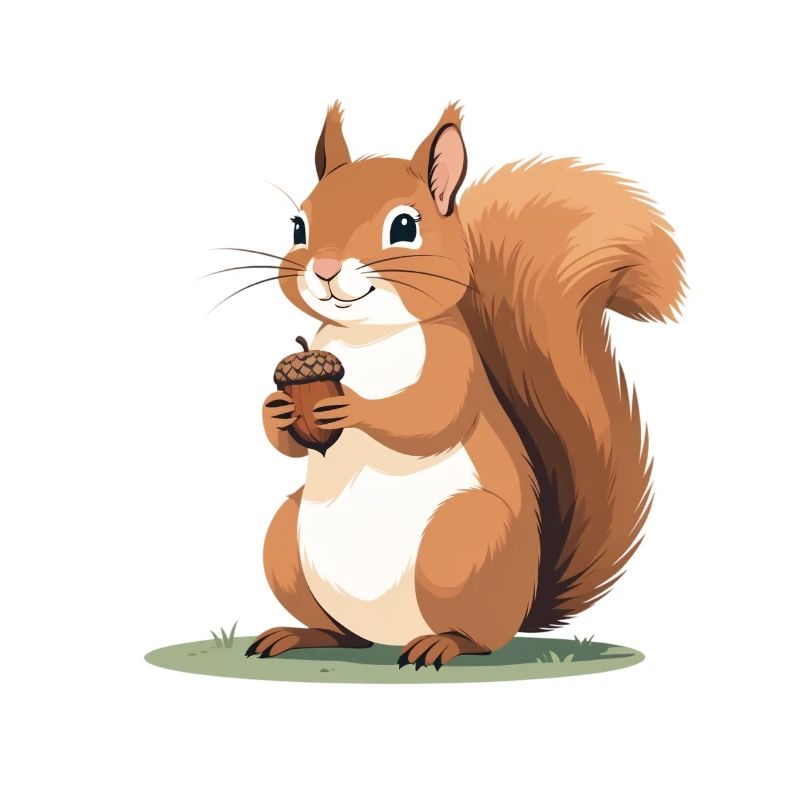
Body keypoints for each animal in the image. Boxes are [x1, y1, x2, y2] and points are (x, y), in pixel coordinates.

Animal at [247, 102, 684, 669]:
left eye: (404, 226)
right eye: (298, 225)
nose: (323, 268)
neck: (367, 334)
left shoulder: (455, 362)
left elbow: (430, 415)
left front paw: (354, 408)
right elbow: (288, 443)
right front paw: (276, 409)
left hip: (461, 541)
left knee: (479, 637)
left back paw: (442, 644)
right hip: (287, 539)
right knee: (343, 634)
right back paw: (299, 636)